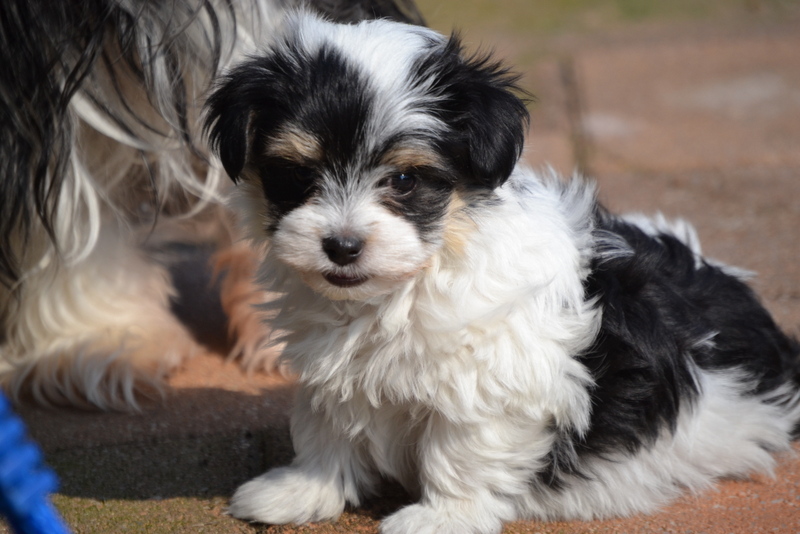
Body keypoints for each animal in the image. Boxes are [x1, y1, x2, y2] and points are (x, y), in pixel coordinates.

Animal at [205, 10, 800, 532]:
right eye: (296, 174)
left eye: (404, 180)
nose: (342, 246)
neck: (418, 275)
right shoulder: (332, 372)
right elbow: (325, 429)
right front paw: (302, 490)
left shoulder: (492, 379)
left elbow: (461, 449)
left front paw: (443, 517)